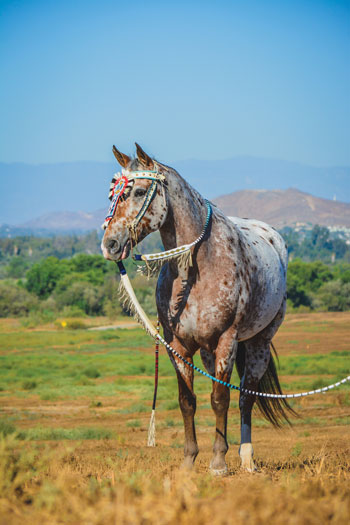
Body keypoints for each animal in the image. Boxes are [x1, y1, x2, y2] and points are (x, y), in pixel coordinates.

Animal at [101, 144, 292, 474]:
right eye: (113, 194)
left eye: (139, 191)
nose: (110, 244)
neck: (197, 266)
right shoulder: (178, 345)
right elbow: (187, 401)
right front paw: (189, 461)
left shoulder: (227, 340)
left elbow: (220, 399)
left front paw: (218, 462)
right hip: (207, 351)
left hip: (259, 343)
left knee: (245, 398)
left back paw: (246, 457)